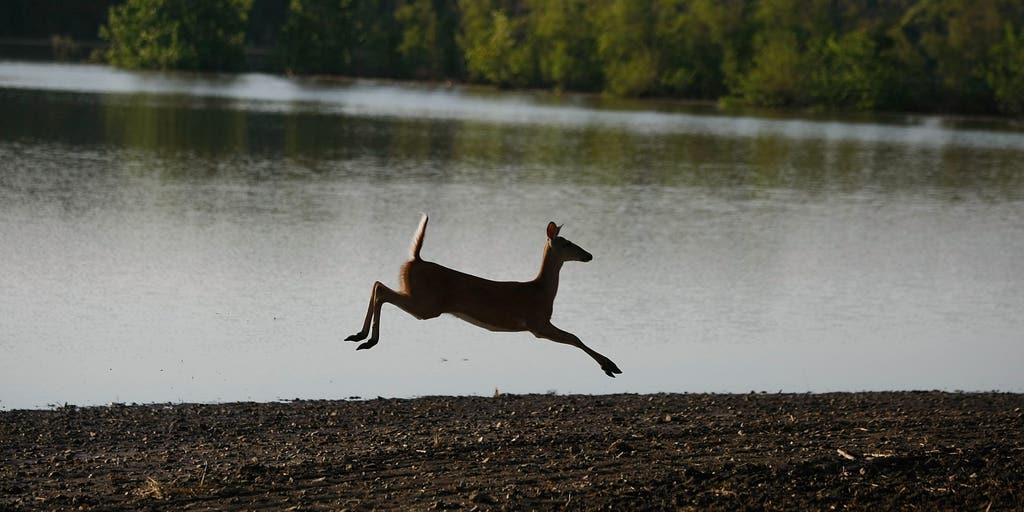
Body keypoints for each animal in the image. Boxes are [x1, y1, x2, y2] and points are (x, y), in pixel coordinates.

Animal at [345, 214, 622, 377]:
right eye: (568, 243)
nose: (589, 255)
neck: (541, 292)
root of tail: (416, 259)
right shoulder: (537, 324)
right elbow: (575, 337)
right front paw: (610, 366)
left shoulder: (538, 324)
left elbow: (574, 337)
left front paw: (609, 365)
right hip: (427, 305)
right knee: (381, 289)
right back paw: (368, 340)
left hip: (421, 300)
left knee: (377, 283)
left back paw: (358, 335)